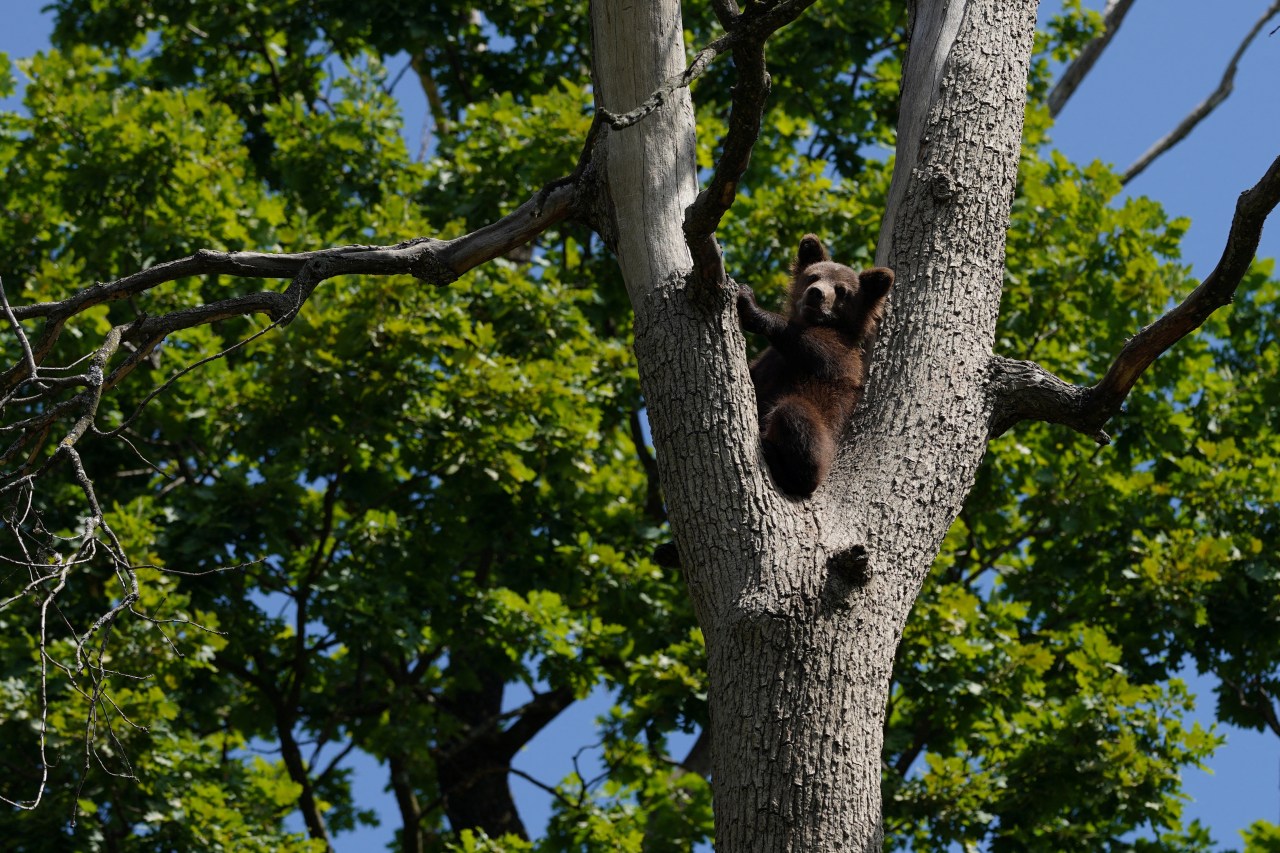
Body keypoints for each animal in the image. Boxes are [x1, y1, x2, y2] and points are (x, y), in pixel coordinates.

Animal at [737, 234, 894, 497]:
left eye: (841, 290)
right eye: (813, 276)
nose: (816, 293)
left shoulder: (844, 358)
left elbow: (817, 349)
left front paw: (751, 306)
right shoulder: (766, 363)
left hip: (825, 436)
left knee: (795, 415)